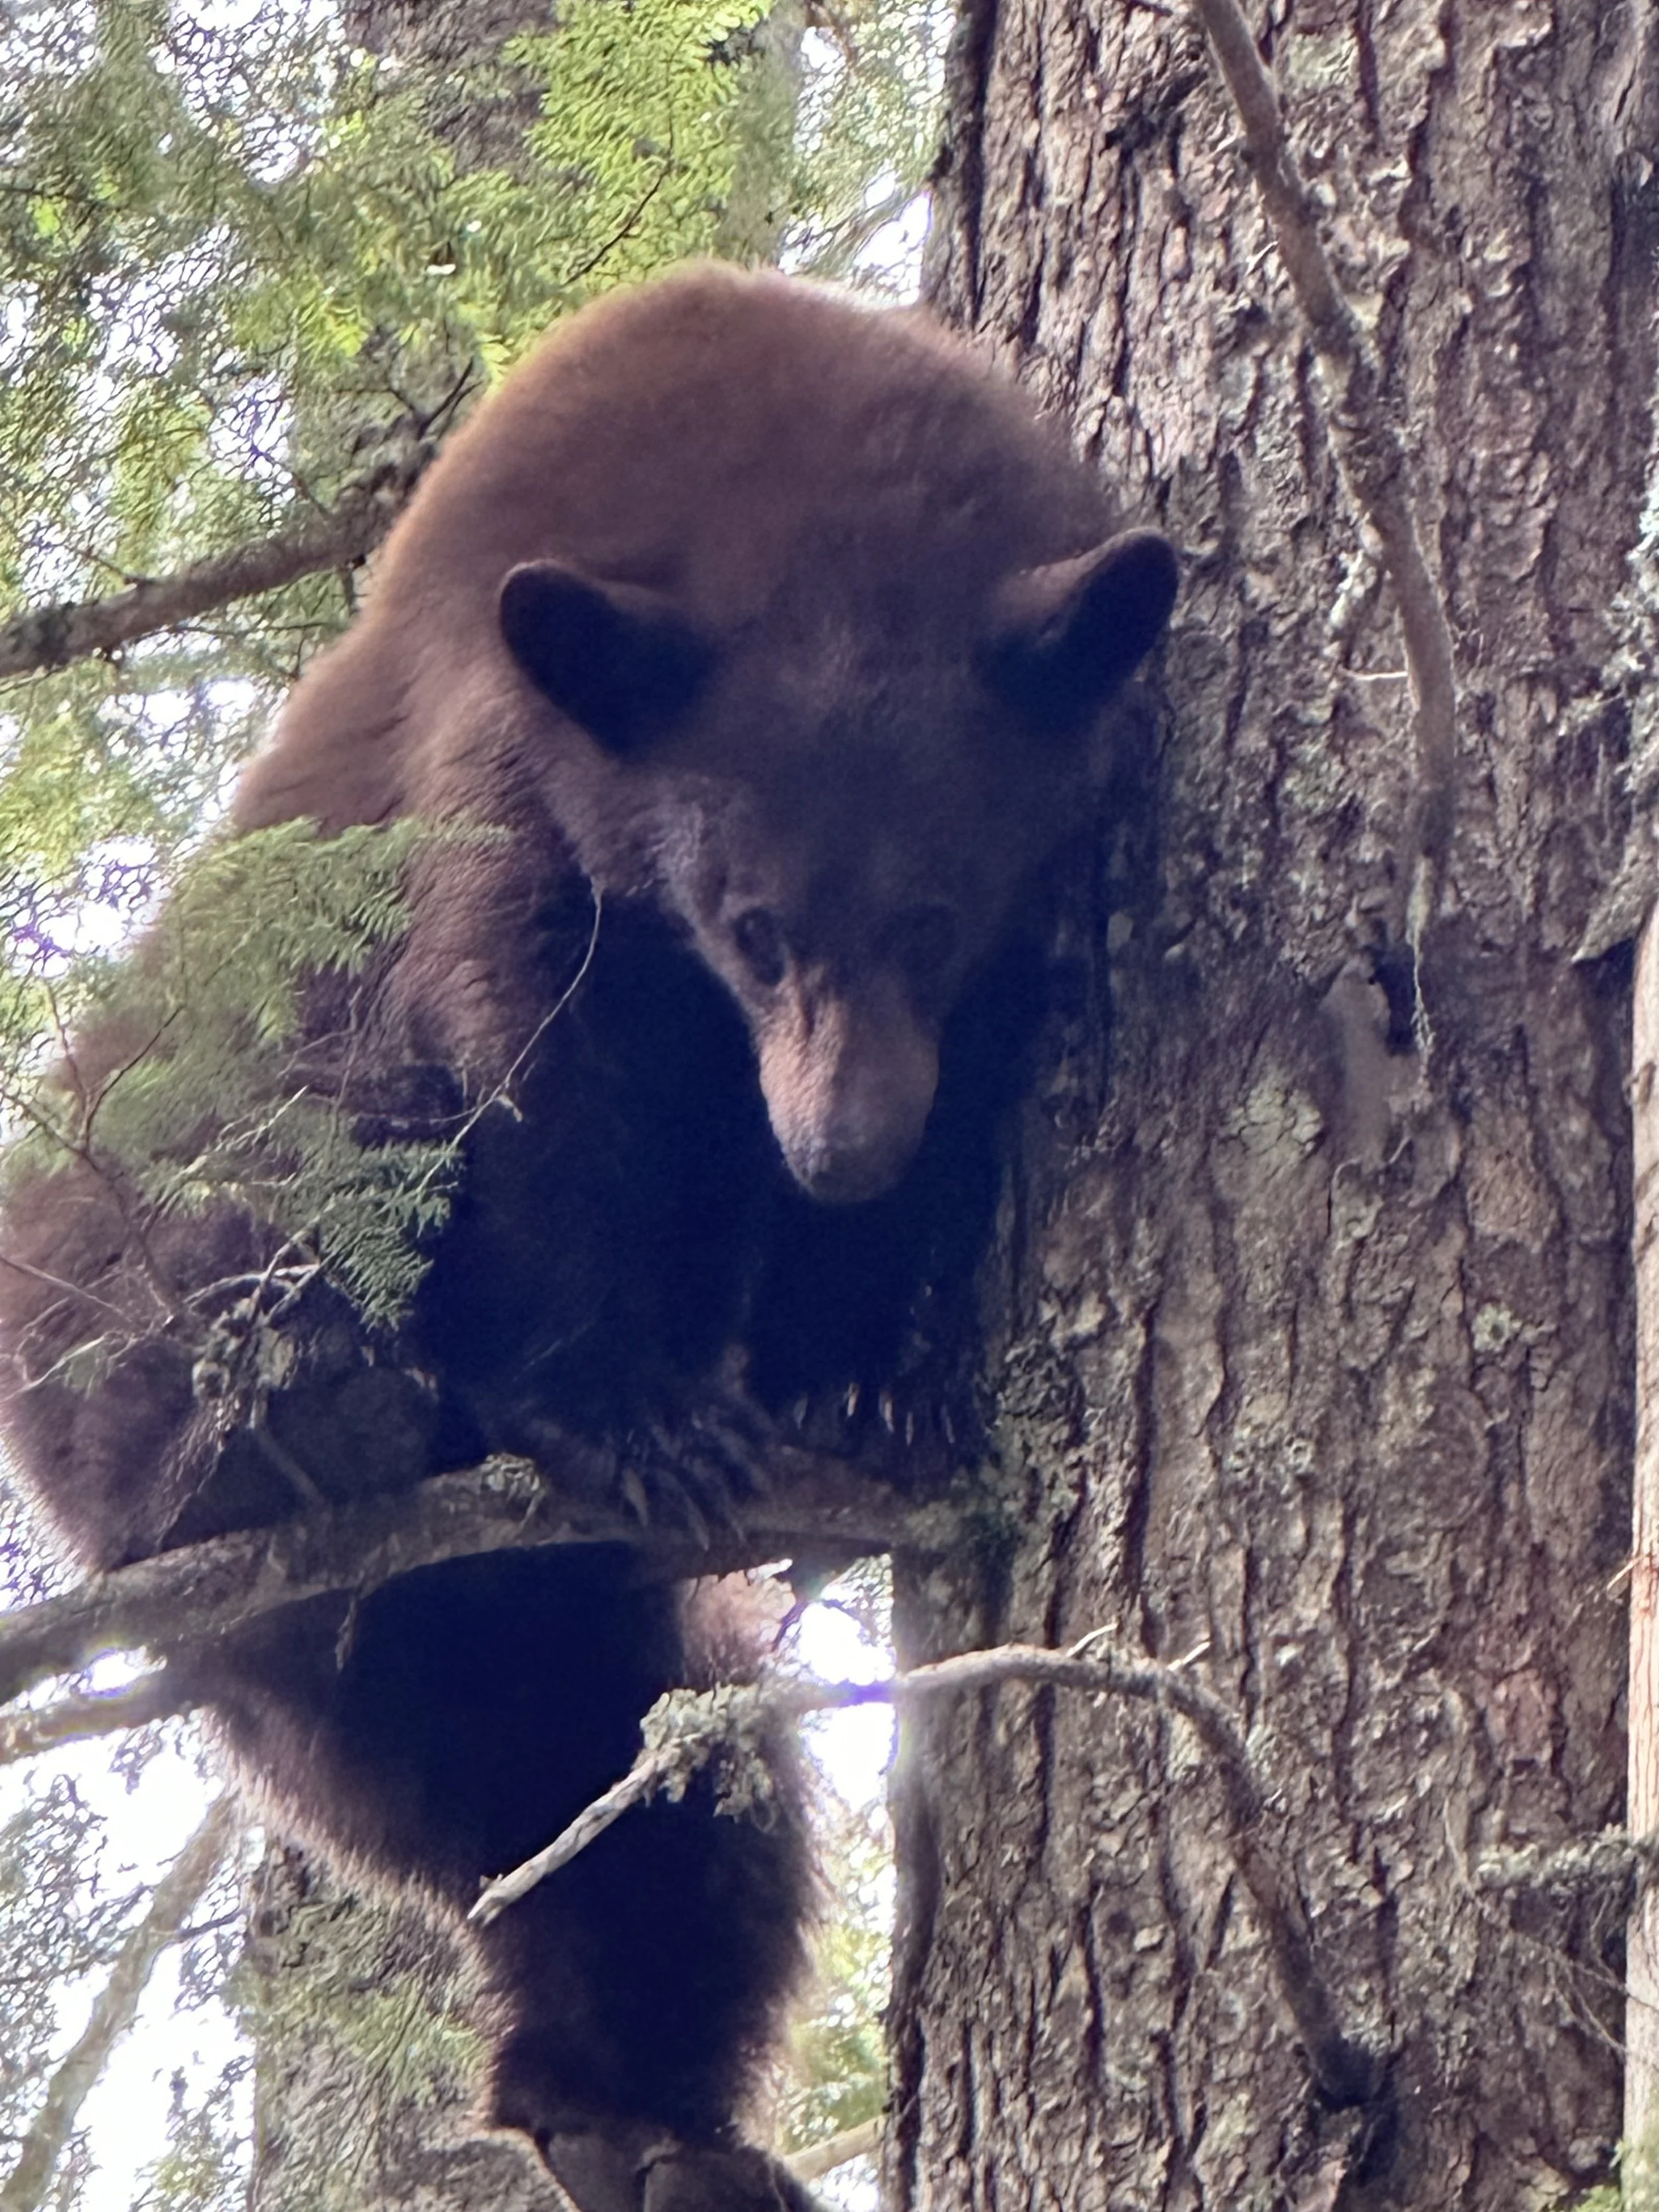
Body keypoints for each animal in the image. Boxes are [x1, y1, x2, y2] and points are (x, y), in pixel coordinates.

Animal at [0, 265, 1177, 2212]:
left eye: (930, 913)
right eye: (751, 921)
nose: (834, 1150)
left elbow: (959, 1123)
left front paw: (868, 1374)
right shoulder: (509, 781)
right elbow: (549, 1083)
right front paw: (639, 1404)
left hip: (526, 1647)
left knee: (630, 1808)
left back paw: (636, 2128)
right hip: (146, 1184)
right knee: (197, 1272)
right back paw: (292, 1411)